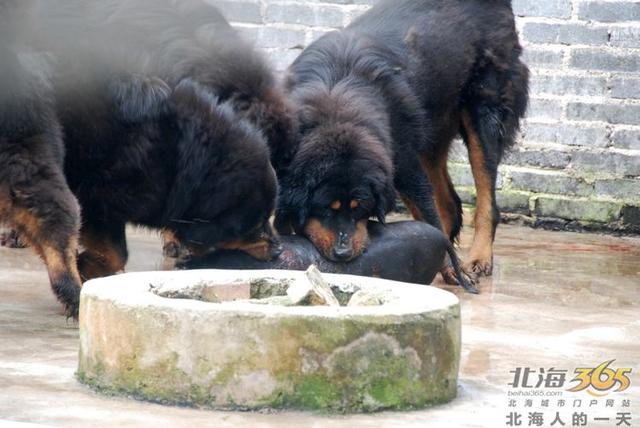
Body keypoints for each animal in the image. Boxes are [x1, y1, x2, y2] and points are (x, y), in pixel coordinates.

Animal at [276, 0, 528, 286]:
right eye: (324, 210)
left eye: (360, 208)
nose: (343, 253)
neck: (336, 100)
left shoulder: (405, 166)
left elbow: (429, 215)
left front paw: (453, 268)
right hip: (429, 129)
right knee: (449, 204)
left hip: (483, 113)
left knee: (486, 199)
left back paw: (479, 257)